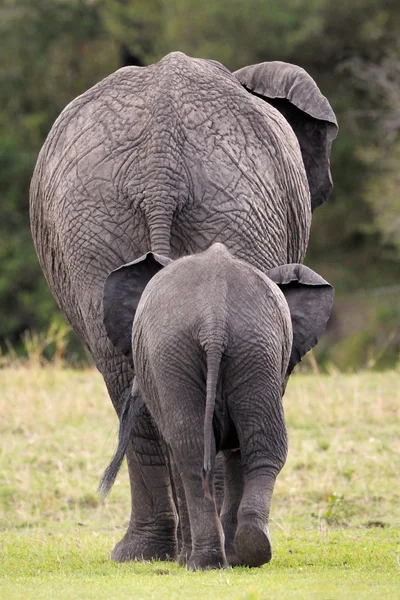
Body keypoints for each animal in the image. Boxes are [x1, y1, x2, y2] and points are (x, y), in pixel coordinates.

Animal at [101, 245, 332, 572]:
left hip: (179, 353)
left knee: (192, 453)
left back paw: (203, 561)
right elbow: (236, 452)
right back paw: (249, 548)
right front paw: (234, 556)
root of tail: (214, 318)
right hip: (255, 348)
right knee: (260, 446)